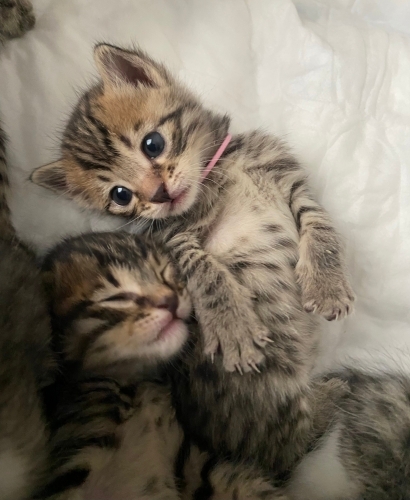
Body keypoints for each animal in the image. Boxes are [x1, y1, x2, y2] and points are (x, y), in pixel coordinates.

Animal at [31, 43, 355, 472]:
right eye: (120, 195)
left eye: (152, 144)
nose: (160, 195)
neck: (215, 175)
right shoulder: (171, 240)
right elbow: (203, 268)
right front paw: (232, 325)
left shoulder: (287, 177)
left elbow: (318, 222)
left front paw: (326, 283)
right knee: (289, 445)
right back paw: (335, 393)